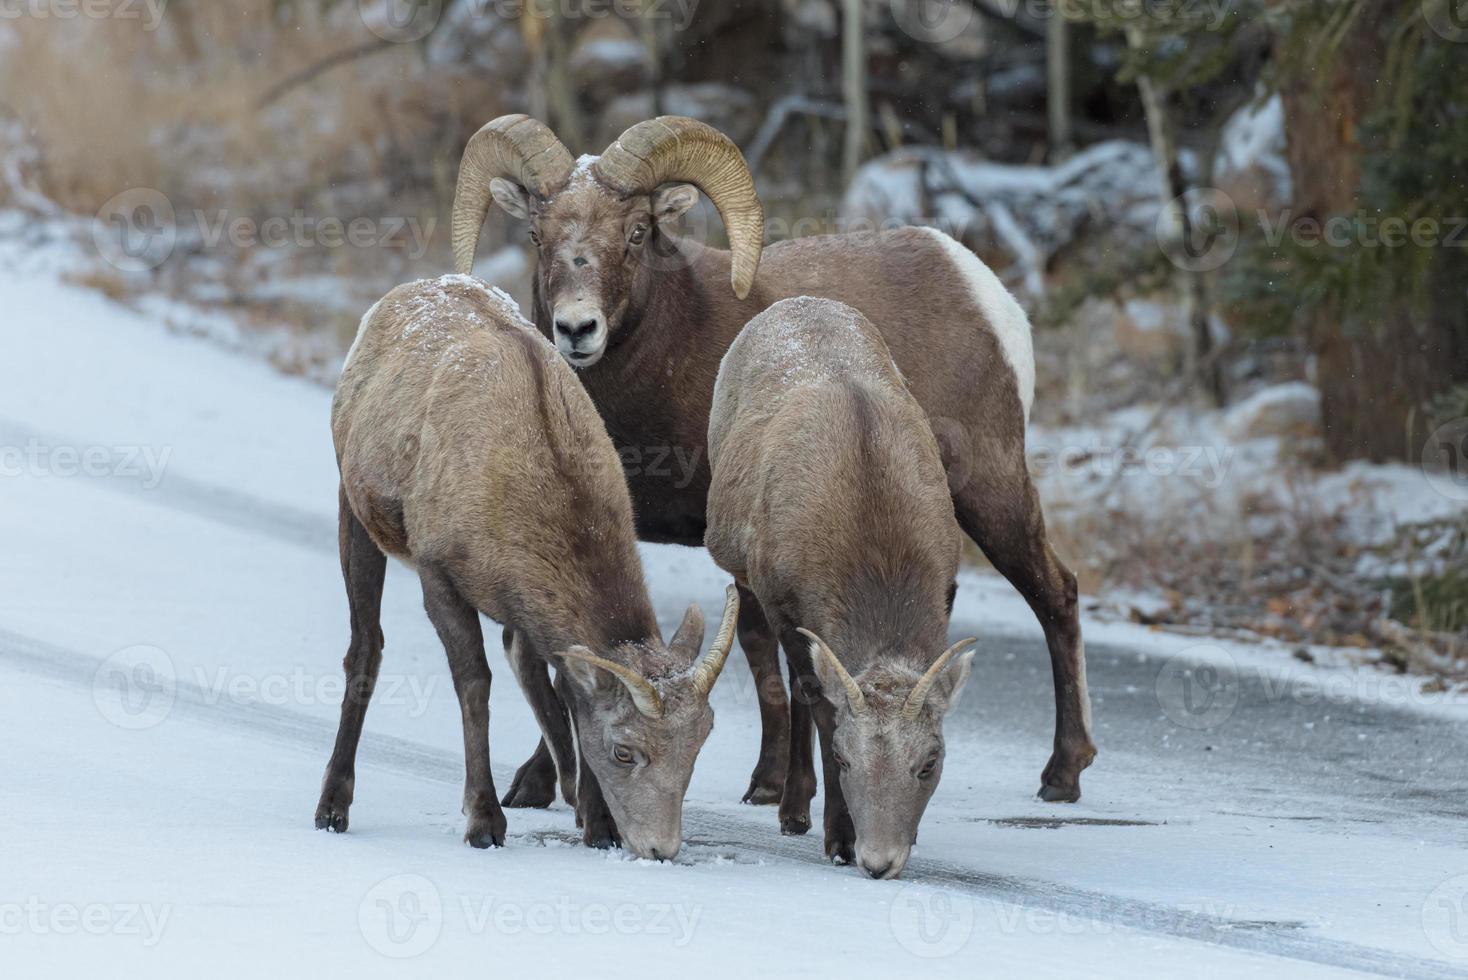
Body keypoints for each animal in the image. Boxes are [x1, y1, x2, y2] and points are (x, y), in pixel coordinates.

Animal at [317, 275, 739, 856]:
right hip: (354, 510)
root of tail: (412, 290)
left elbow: (563, 690)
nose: (659, 848)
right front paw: (484, 820)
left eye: (699, 745)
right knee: (365, 648)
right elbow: (475, 684)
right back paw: (332, 807)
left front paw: (595, 821)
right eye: (624, 750)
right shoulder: (439, 574)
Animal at [452, 112, 1098, 809]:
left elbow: (759, 652)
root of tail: (985, 293)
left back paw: (1063, 774)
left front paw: (773, 787)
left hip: (992, 490)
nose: (577, 330)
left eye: (636, 232)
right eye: (536, 233)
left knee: (1056, 594)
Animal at [707, 294, 980, 874]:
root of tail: (796, 302)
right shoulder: (782, 599)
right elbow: (818, 701)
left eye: (930, 761)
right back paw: (790, 808)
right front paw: (838, 836)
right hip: (743, 573)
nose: (880, 860)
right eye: (844, 758)